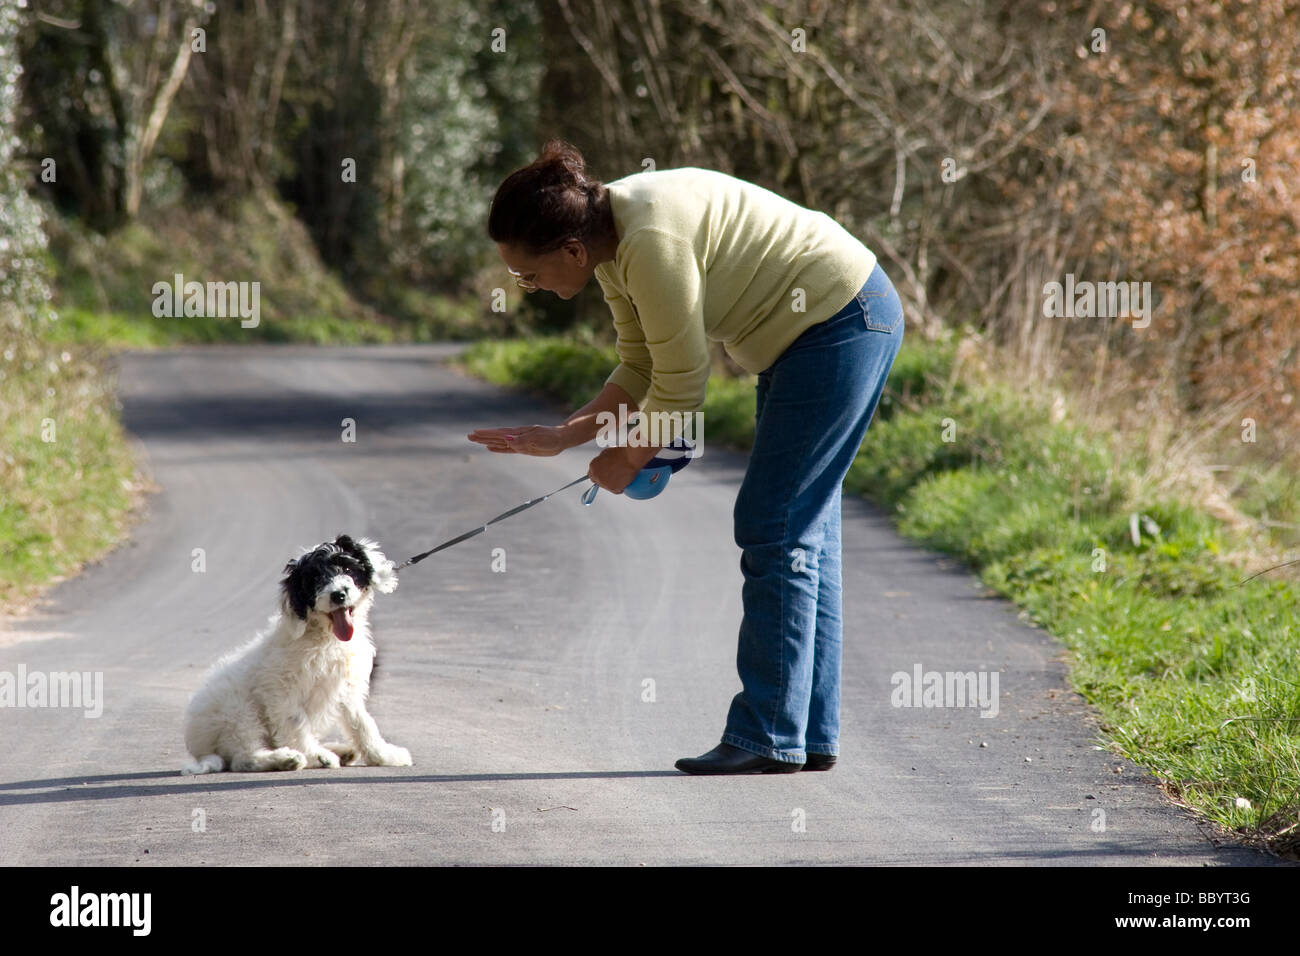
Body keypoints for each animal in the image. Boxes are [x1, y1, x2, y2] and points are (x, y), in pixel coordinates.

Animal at [179, 535, 410, 775]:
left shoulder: (346, 688)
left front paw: (384, 755)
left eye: (347, 568)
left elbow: (362, 723)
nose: (338, 595)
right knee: (244, 758)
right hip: (238, 713)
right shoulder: (282, 690)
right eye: (315, 579)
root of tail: (200, 748)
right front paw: (315, 757)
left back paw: (339, 751)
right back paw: (290, 758)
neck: (325, 637)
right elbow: (296, 724)